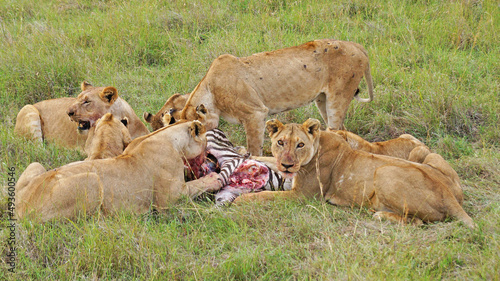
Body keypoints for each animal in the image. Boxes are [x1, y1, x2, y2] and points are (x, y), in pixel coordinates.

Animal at [15, 119, 221, 222]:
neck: (170, 139)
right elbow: (197, 184)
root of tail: (21, 208)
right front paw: (215, 178)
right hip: (91, 180)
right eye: (206, 142)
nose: (211, 159)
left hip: (36, 165)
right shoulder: (167, 201)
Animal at [234, 119, 472, 226]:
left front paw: (239, 200)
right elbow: (266, 160)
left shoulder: (302, 196)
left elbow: (265, 195)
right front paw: (242, 152)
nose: (287, 165)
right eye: (280, 142)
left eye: (300, 144)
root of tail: (448, 194)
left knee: (417, 222)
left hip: (384, 171)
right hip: (431, 158)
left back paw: (380, 214)